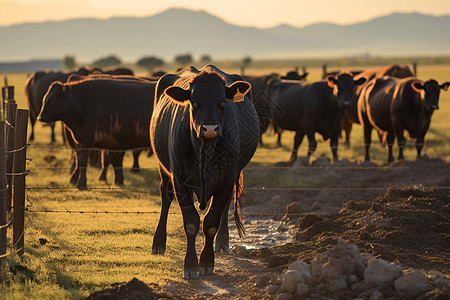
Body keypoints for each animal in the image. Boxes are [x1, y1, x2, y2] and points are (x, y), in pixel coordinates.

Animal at [149, 64, 258, 278]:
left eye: (222, 101)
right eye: (194, 102)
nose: (210, 129)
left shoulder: (227, 178)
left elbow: (211, 223)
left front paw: (207, 261)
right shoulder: (179, 178)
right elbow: (191, 223)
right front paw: (190, 265)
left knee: (225, 207)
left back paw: (223, 241)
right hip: (163, 169)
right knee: (166, 197)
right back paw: (158, 243)